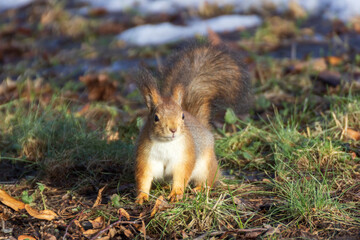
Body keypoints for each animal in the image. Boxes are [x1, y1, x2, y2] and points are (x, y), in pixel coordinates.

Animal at [134, 43, 250, 204]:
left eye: (182, 116)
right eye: (156, 118)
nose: (173, 129)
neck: (166, 144)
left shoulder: (184, 158)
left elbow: (181, 177)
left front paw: (176, 193)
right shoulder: (146, 158)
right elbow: (143, 178)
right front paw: (142, 196)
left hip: (206, 166)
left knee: (210, 180)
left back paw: (199, 189)